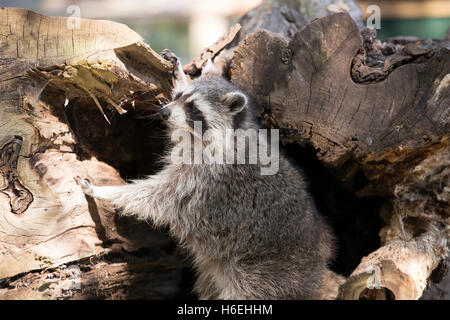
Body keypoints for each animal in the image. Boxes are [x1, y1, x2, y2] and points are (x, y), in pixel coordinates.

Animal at [77, 50, 336, 300]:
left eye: (193, 107)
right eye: (178, 97)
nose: (164, 112)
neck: (228, 132)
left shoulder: (206, 177)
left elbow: (159, 196)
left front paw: (107, 191)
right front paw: (179, 74)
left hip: (266, 273)